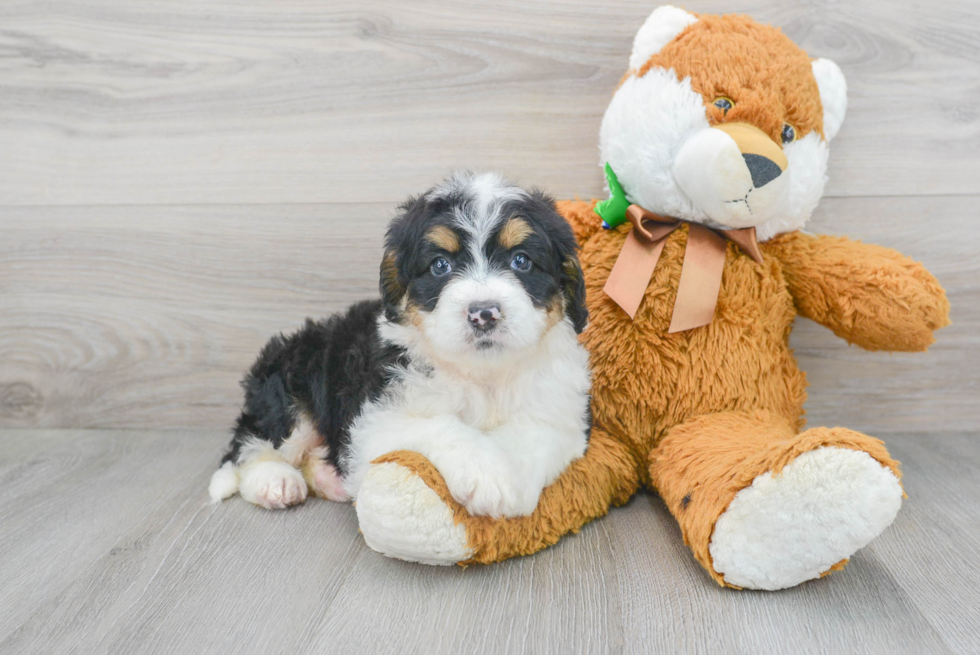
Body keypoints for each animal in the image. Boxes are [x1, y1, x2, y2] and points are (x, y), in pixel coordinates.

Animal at [209, 172, 588, 520]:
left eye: (521, 261)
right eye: (440, 265)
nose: (483, 313)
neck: (484, 375)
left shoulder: (563, 415)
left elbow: (534, 436)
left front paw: (514, 484)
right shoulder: (375, 420)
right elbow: (441, 426)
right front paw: (487, 474)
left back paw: (328, 477)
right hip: (291, 382)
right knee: (249, 444)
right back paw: (275, 482)